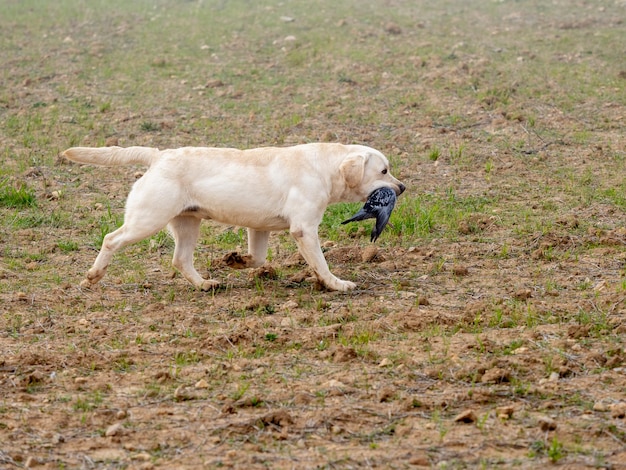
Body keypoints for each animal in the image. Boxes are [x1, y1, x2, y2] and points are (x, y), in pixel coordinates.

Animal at [62, 143, 404, 290]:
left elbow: (258, 259)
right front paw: (336, 284)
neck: (324, 166)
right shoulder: (304, 230)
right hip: (147, 220)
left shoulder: (260, 228)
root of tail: (158, 155)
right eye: (383, 170)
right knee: (111, 239)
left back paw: (204, 284)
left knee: (180, 260)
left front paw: (236, 260)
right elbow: (320, 263)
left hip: (188, 223)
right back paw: (93, 276)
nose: (402, 187)